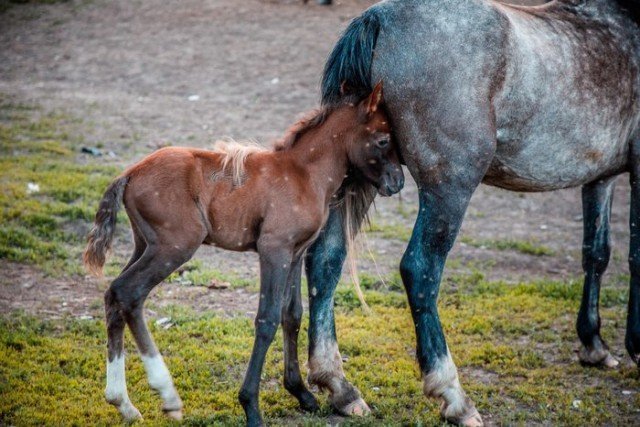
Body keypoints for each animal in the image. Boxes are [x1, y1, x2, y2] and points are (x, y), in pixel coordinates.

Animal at [84, 83, 404, 424]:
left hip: (144, 245)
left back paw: (123, 403)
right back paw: (166, 395)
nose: (397, 182)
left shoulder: (295, 253)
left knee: (115, 296)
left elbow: (292, 314)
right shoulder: (273, 250)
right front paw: (251, 405)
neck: (304, 173)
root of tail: (130, 172)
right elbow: (267, 319)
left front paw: (302, 393)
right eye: (383, 140)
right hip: (174, 247)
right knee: (128, 293)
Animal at [304, 0, 640, 426]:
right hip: (450, 186)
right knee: (420, 270)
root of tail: (380, 17)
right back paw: (454, 395)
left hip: (360, 175)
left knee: (325, 260)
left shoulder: (601, 177)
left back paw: (339, 386)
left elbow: (597, 253)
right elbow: (636, 256)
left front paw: (594, 343)